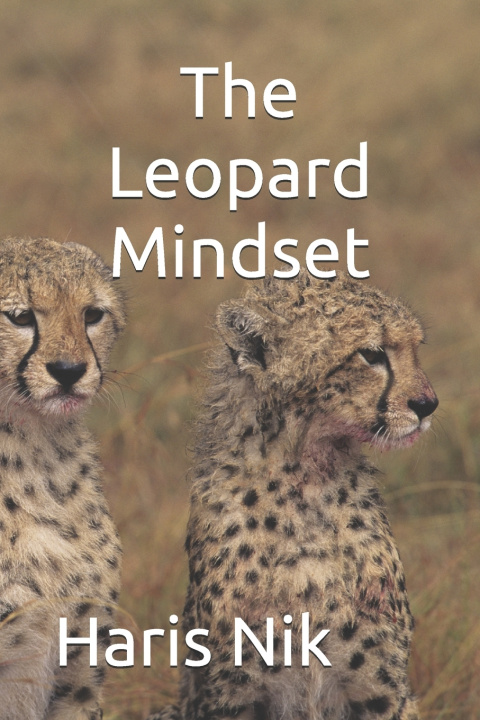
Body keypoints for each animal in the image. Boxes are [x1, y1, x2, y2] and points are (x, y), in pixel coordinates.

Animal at [149, 270, 438, 720]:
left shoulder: (381, 693)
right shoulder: (232, 698)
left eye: (414, 349)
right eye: (371, 354)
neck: (304, 481)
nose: (427, 404)